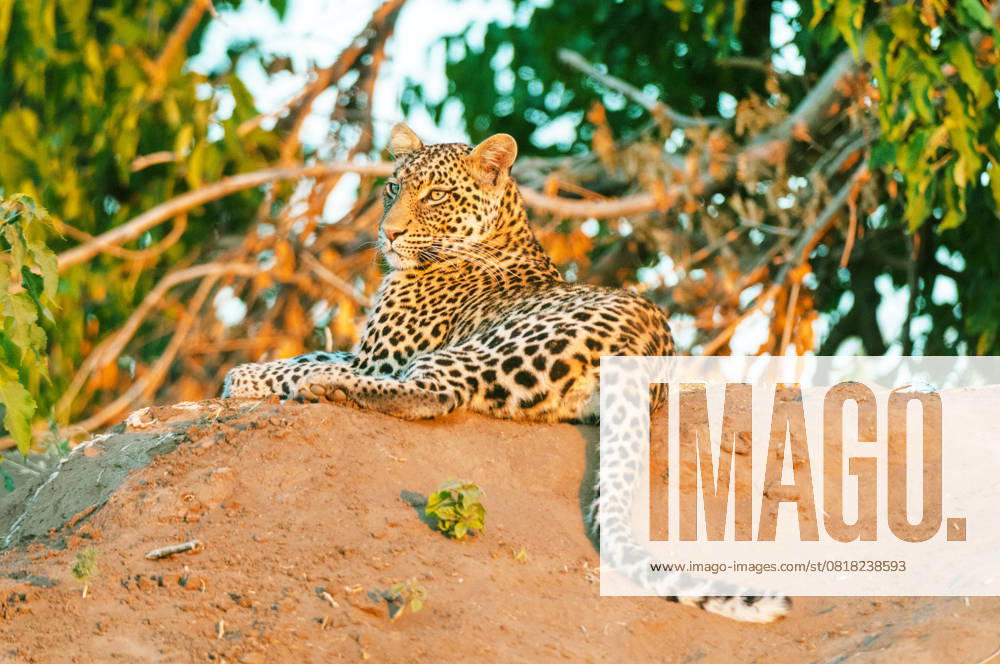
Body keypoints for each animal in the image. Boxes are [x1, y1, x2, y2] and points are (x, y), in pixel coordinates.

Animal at [222, 123, 791, 623]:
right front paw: (251, 373)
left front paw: (246, 378)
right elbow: (306, 355)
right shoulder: (368, 351)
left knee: (433, 394)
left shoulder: (380, 356)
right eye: (392, 188)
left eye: (435, 196)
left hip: (479, 349)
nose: (388, 234)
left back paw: (328, 390)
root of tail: (649, 350)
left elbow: (301, 366)